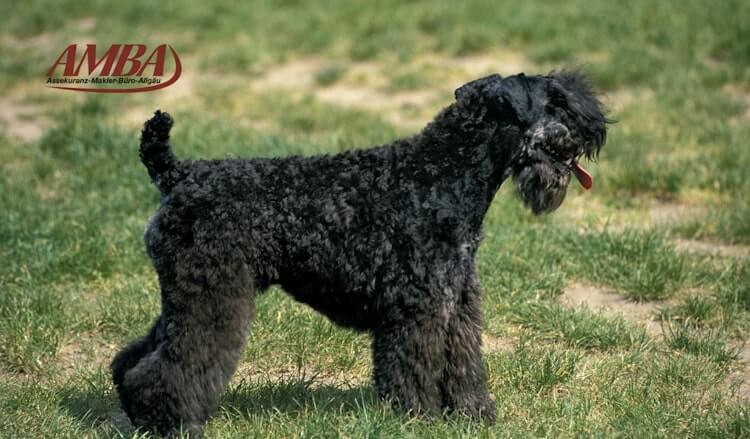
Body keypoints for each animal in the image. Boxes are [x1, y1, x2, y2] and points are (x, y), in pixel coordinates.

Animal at [111, 71, 608, 436]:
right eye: (557, 100)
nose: (597, 127)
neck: (442, 174)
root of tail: (178, 176)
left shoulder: (458, 301)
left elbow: (463, 362)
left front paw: (473, 415)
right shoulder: (419, 305)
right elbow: (414, 365)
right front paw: (420, 418)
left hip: (186, 295)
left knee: (139, 355)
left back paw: (138, 412)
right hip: (213, 297)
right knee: (175, 363)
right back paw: (172, 423)